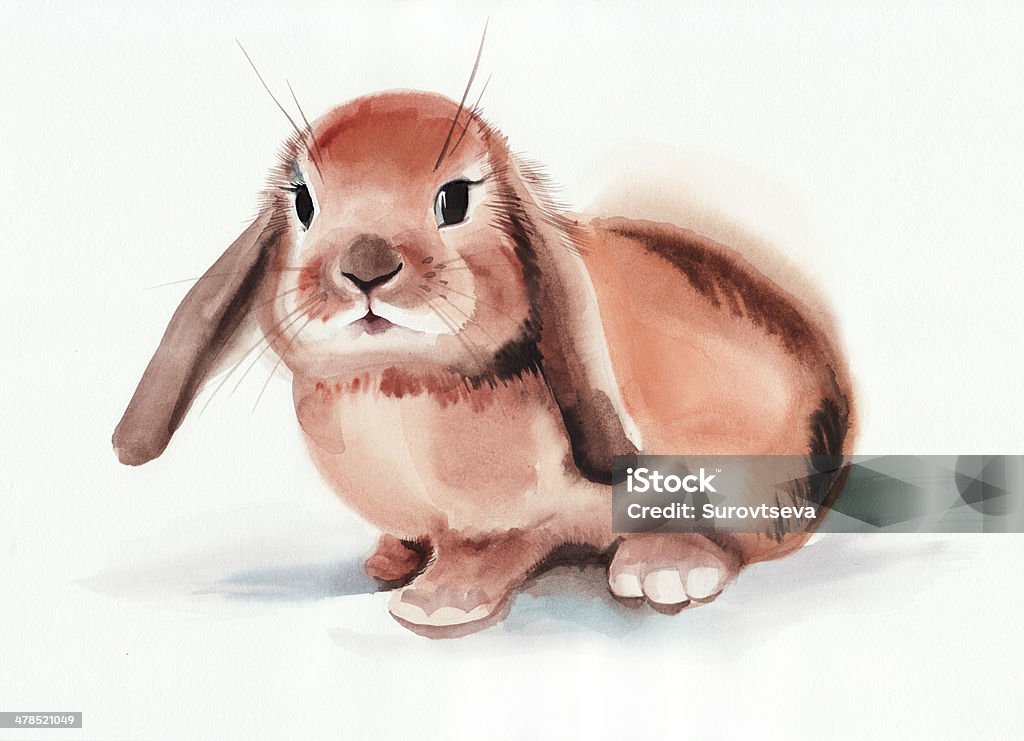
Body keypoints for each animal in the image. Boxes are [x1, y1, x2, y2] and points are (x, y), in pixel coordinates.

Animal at [112, 88, 854, 635]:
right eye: (303, 202)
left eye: (456, 199)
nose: (366, 267)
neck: (396, 377)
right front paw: (392, 561)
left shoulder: (524, 518)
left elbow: (495, 547)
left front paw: (435, 601)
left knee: (736, 543)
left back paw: (660, 569)